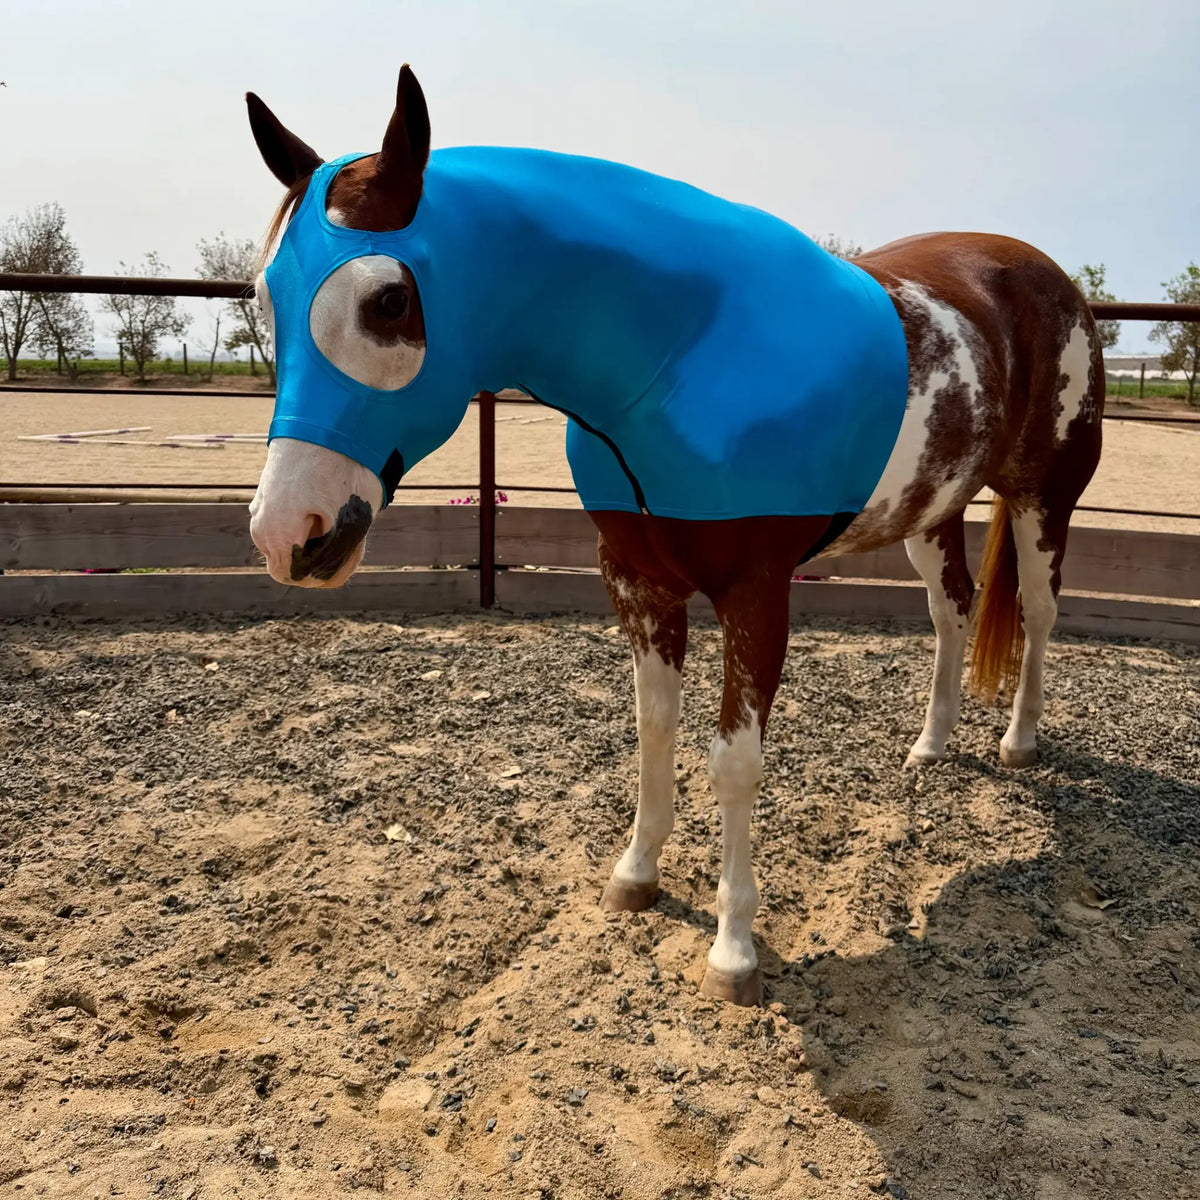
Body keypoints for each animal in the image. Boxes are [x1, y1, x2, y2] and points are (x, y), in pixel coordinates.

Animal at [245, 66, 1104, 1007]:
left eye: (389, 300)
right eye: (264, 298)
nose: (288, 533)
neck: (682, 349)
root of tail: (1047, 279)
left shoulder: (756, 596)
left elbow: (733, 761)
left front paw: (734, 950)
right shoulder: (639, 582)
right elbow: (654, 728)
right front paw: (637, 875)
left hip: (1043, 502)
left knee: (1040, 614)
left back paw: (1017, 743)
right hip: (932, 511)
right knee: (952, 612)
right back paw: (932, 744)